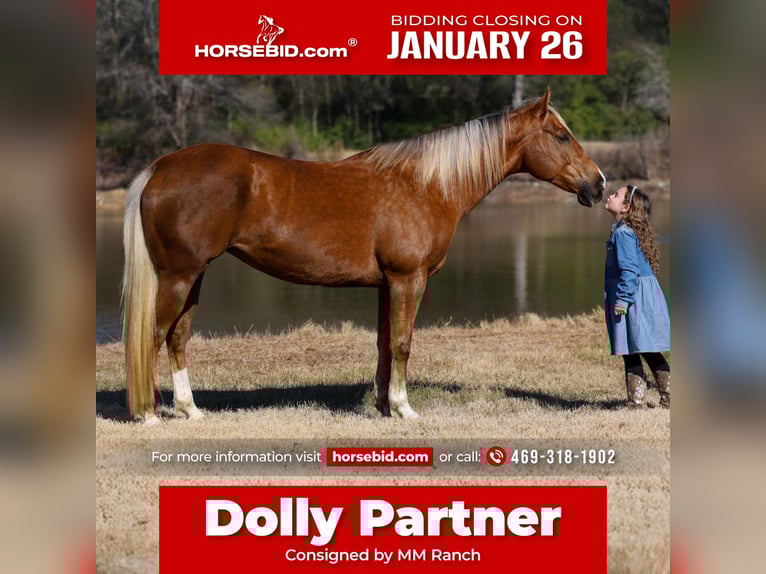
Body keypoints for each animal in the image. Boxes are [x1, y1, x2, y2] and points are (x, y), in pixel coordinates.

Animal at [122, 88, 605, 425]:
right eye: (561, 136)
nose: (598, 184)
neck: (426, 185)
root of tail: (160, 167)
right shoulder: (409, 279)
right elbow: (404, 342)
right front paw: (405, 408)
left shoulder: (386, 284)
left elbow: (384, 344)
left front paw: (382, 405)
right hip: (179, 275)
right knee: (154, 336)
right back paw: (147, 413)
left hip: (194, 276)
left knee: (178, 338)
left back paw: (191, 410)